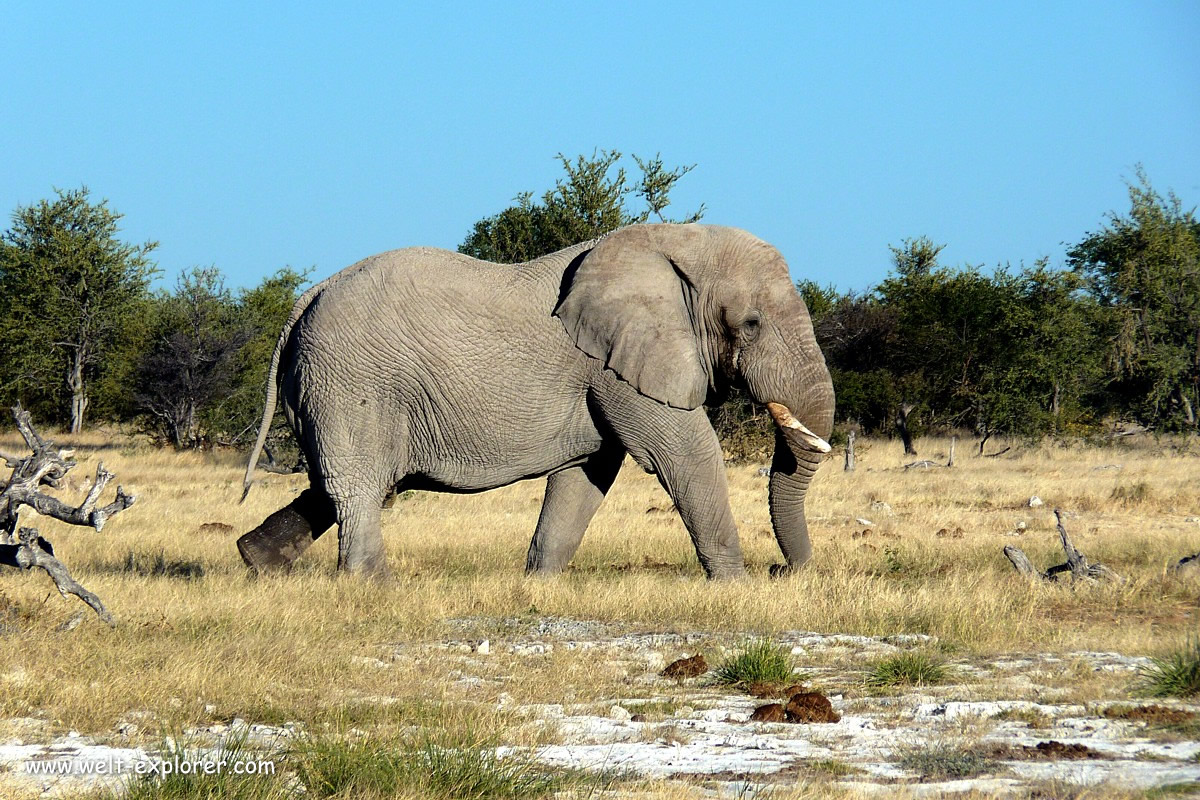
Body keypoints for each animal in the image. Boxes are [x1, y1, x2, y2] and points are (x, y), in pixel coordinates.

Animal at [234, 221, 835, 578]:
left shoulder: (600, 373)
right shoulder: (616, 366)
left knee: (335, 484)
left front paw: (540, 581)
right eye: (750, 324)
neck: (671, 242)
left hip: (331, 385)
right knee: (358, 484)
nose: (786, 571)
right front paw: (735, 585)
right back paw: (373, 585)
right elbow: (685, 454)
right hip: (354, 382)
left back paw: (257, 562)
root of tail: (306, 298)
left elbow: (588, 473)